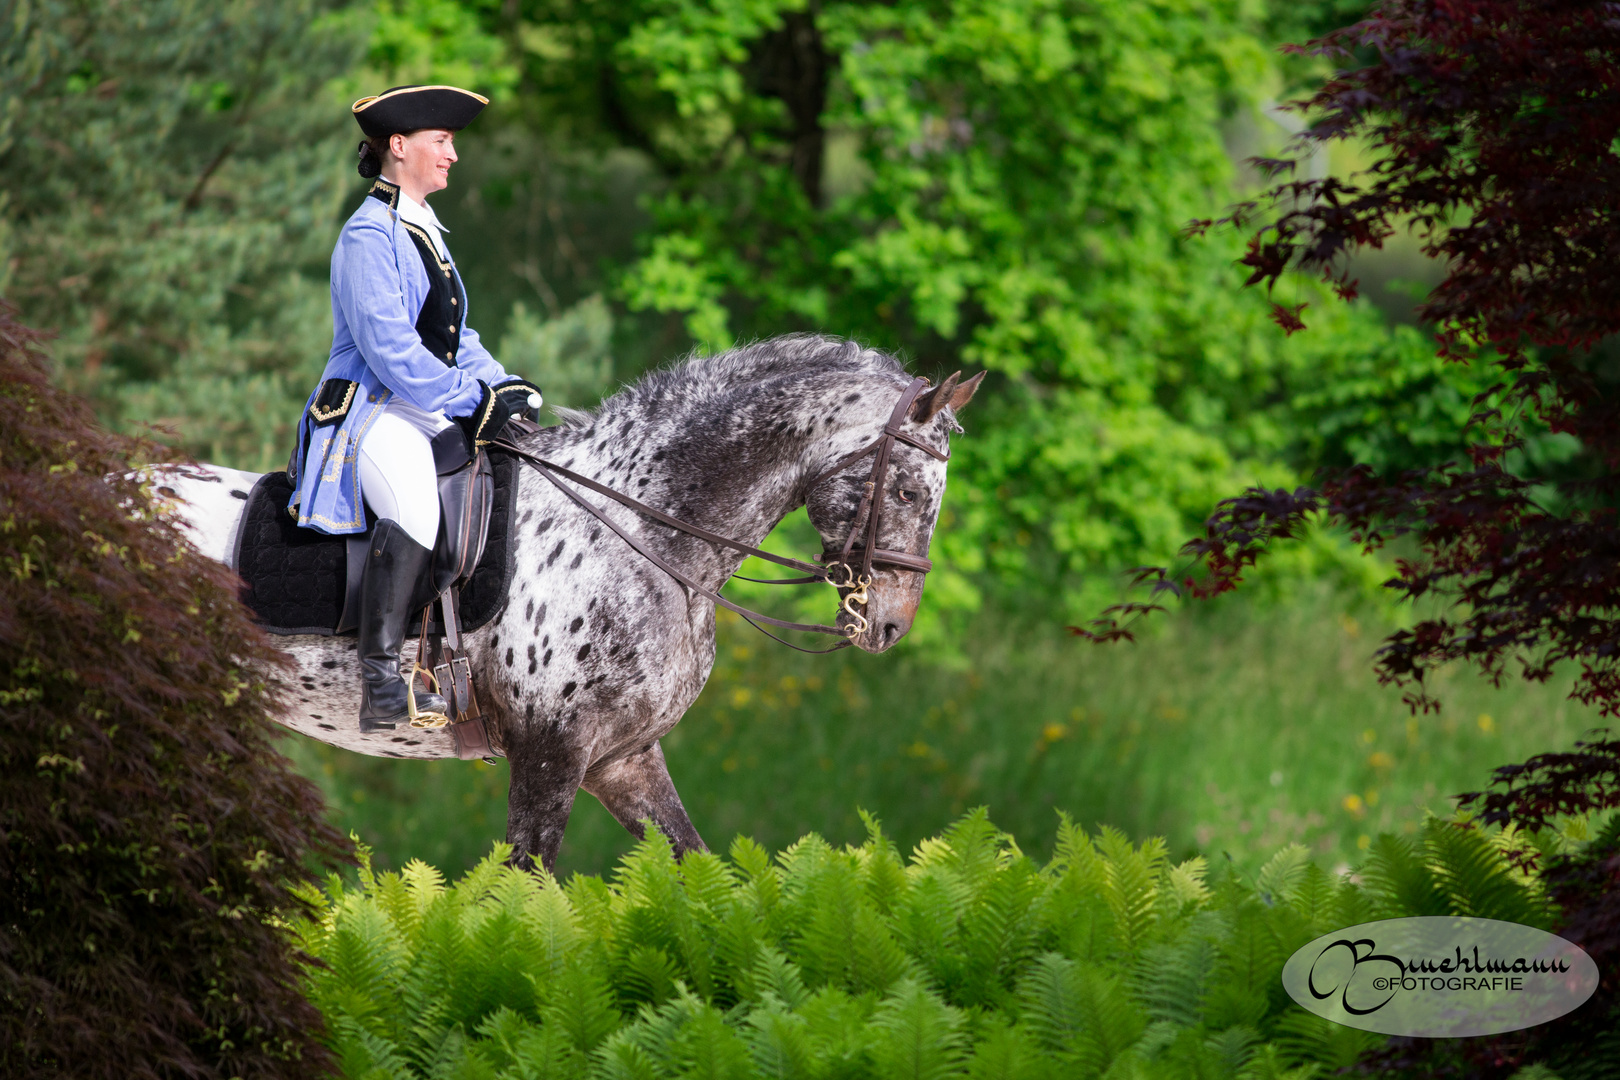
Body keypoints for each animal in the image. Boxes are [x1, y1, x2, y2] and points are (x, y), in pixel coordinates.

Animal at [164, 333, 978, 874]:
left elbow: (699, 870)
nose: (889, 624)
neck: (639, 531)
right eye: (910, 491)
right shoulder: (550, 753)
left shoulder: (622, 757)